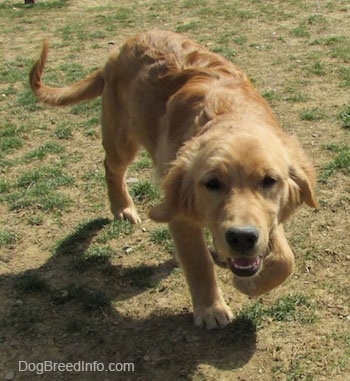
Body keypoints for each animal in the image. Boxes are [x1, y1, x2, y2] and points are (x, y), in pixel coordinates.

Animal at [29, 29, 318, 328]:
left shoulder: (266, 217)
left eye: (269, 181)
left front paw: (248, 280)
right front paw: (211, 309)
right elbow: (198, 262)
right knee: (111, 168)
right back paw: (122, 207)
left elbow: (285, 260)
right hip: (121, 139)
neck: (231, 114)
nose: (241, 238)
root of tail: (125, 44)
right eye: (212, 183)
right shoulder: (179, 213)